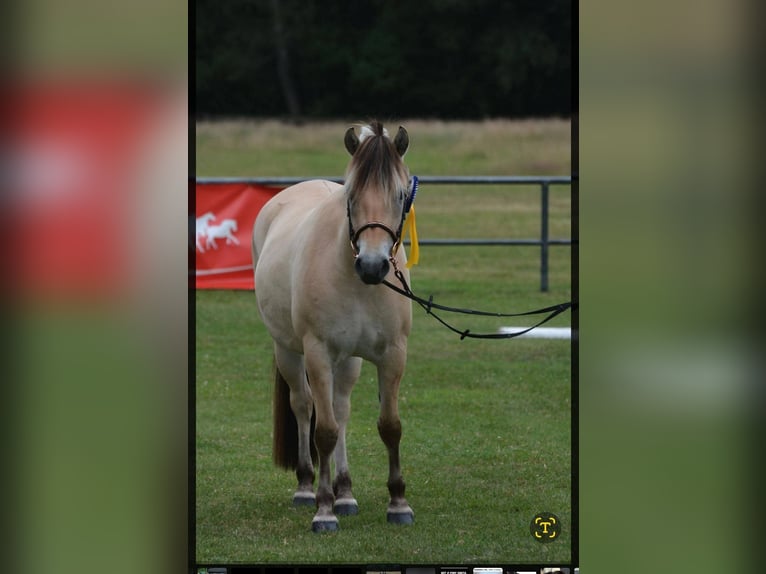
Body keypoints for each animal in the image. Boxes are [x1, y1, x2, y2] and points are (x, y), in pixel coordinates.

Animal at [251, 121, 415, 532]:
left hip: (349, 361)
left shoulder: (393, 354)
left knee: (340, 410)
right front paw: (323, 510)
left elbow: (389, 425)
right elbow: (322, 431)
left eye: (400, 194)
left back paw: (345, 493)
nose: (372, 266)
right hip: (289, 352)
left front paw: (398, 504)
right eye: (351, 195)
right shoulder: (319, 354)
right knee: (304, 406)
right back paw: (308, 488)